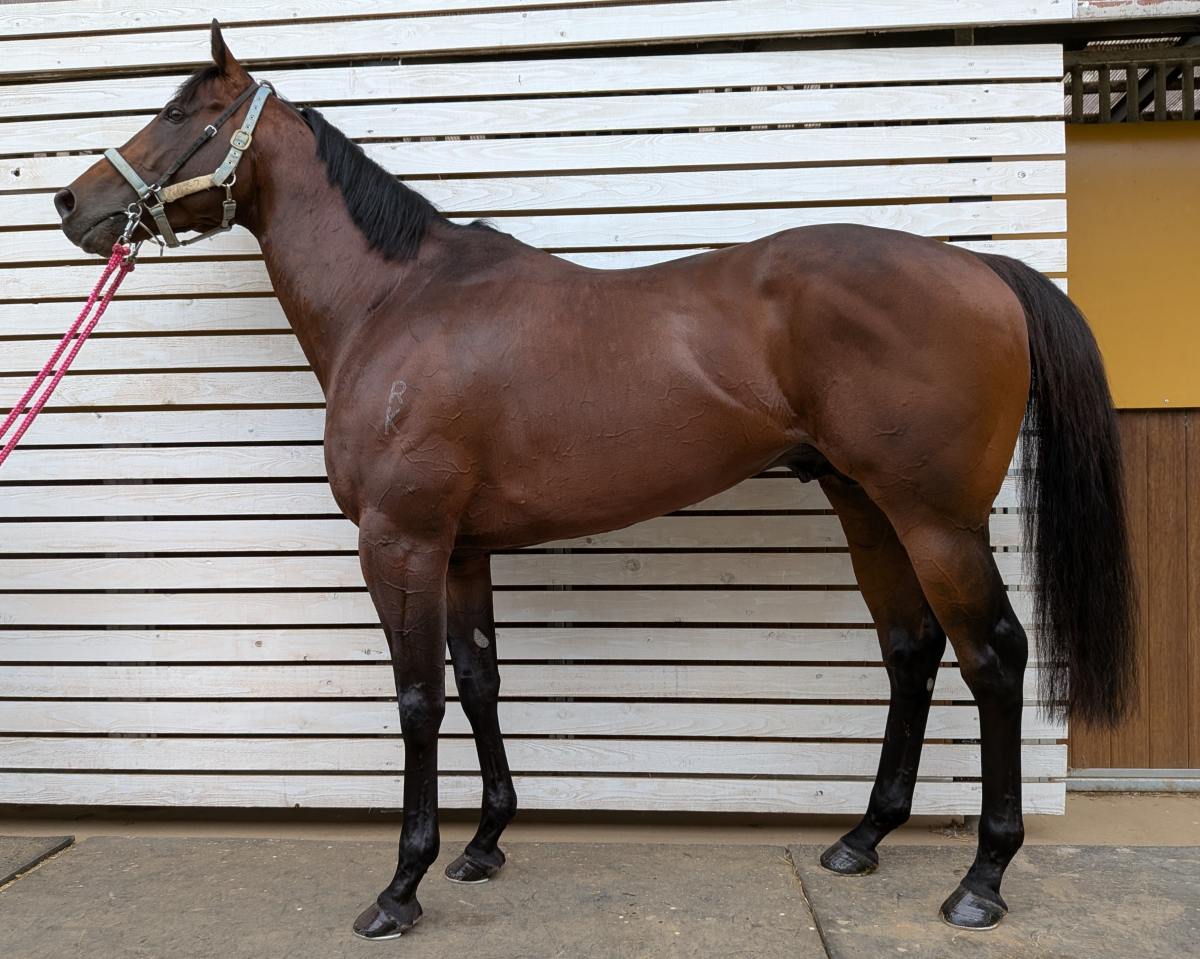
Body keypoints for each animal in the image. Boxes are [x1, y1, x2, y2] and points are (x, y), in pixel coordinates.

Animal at [54, 23, 1135, 939]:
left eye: (183, 116)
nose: (71, 203)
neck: (397, 304)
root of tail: (981, 271)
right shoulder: (460, 551)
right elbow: (481, 681)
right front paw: (485, 844)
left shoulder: (400, 542)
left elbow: (418, 699)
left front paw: (401, 886)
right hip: (866, 505)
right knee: (910, 652)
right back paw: (863, 837)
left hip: (936, 517)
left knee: (993, 656)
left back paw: (982, 879)